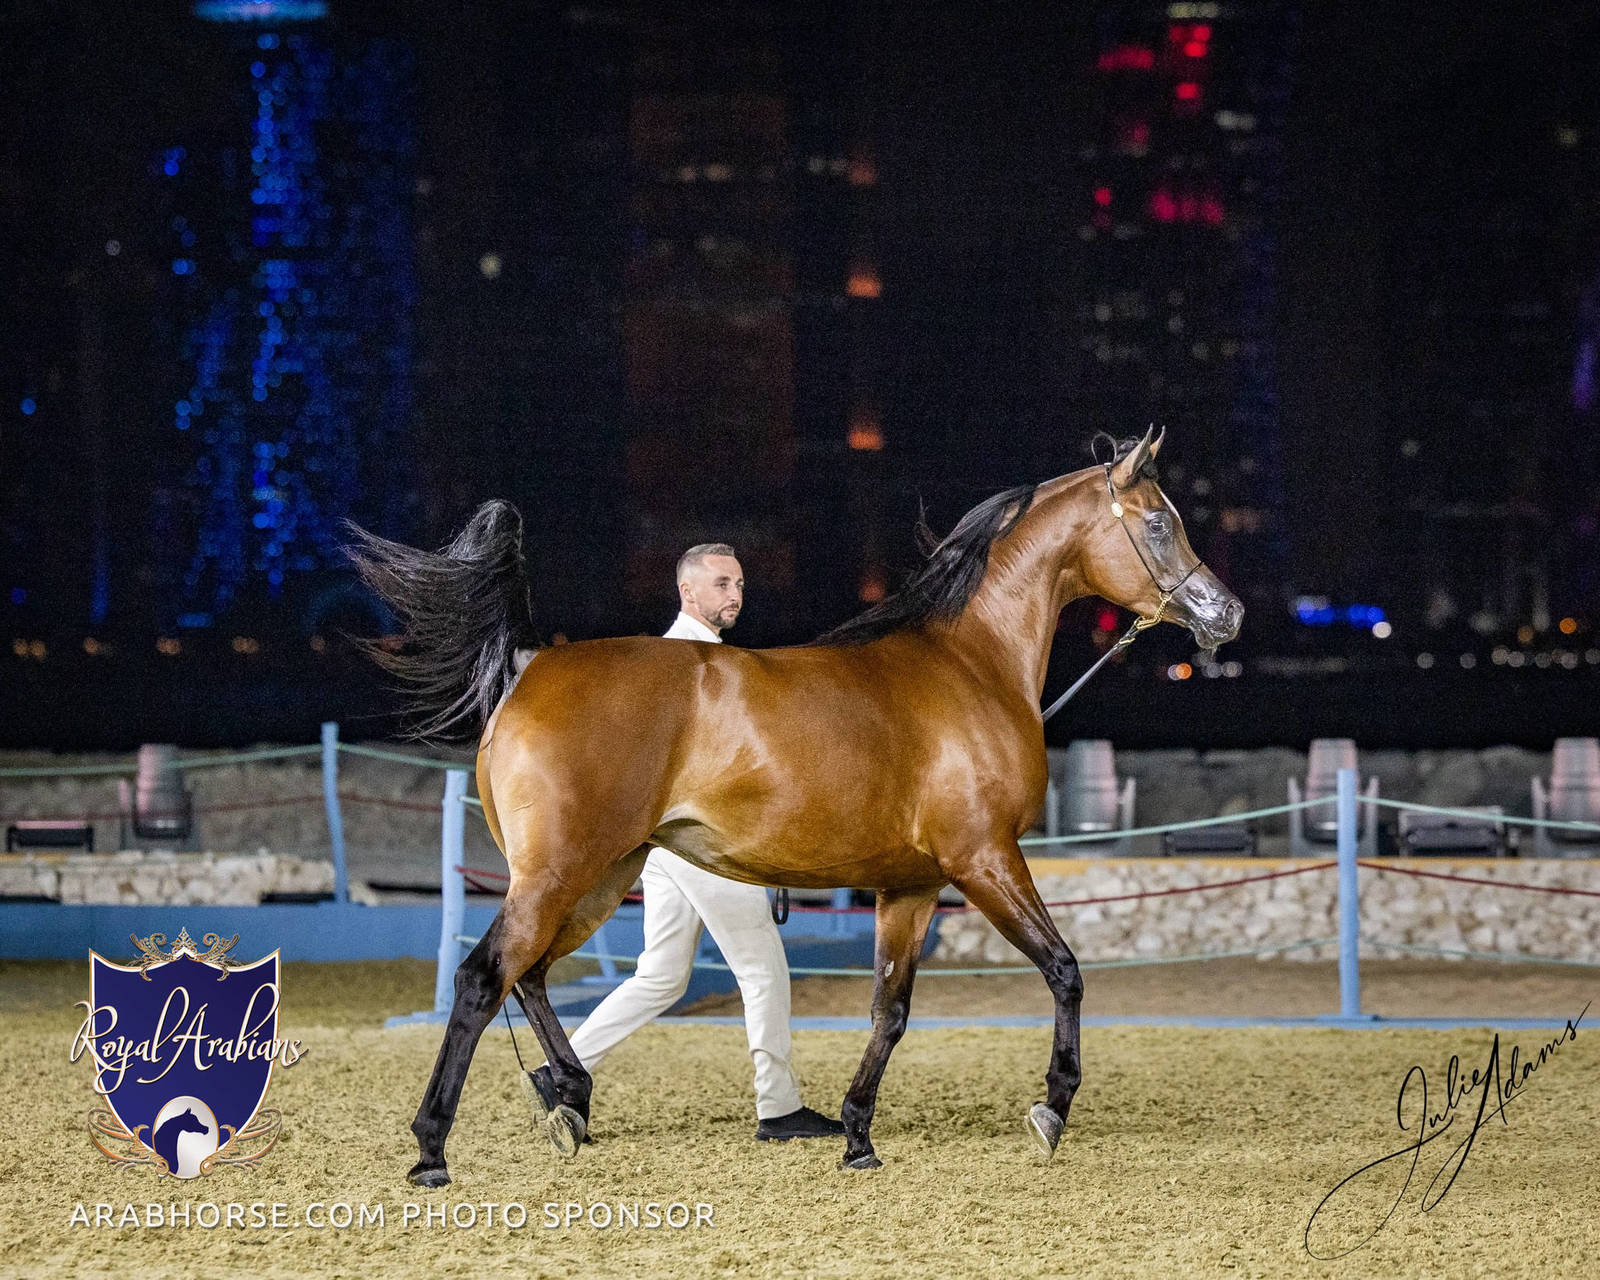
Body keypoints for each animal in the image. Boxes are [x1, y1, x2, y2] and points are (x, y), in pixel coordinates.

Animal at [346, 427, 1242, 1185]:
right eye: (1158, 522)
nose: (1224, 613)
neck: (970, 663)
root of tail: (531, 665)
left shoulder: (912, 885)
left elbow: (890, 1009)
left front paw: (856, 1134)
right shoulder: (985, 859)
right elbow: (1065, 972)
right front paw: (1050, 1110)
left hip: (601, 876)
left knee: (528, 975)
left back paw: (567, 1096)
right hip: (562, 873)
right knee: (482, 977)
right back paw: (434, 1149)